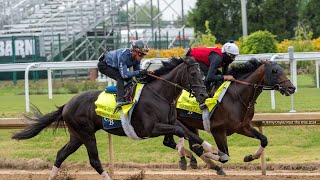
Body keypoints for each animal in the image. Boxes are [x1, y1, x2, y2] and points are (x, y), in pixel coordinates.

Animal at [11, 56, 228, 180]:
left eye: (201, 73)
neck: (160, 94)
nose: (203, 95)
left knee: (61, 154)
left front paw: (216, 154)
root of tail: (68, 104)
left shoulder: (170, 122)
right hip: (86, 134)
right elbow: (181, 132)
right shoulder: (150, 129)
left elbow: (190, 135)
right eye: (193, 73)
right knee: (94, 161)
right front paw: (188, 159)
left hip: (76, 136)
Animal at [164, 58, 296, 174]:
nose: (291, 88)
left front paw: (249, 157)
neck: (237, 97)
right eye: (274, 71)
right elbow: (224, 156)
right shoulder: (218, 131)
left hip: (186, 124)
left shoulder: (242, 127)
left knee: (171, 142)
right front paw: (209, 152)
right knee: (175, 142)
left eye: (282, 70)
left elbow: (264, 140)